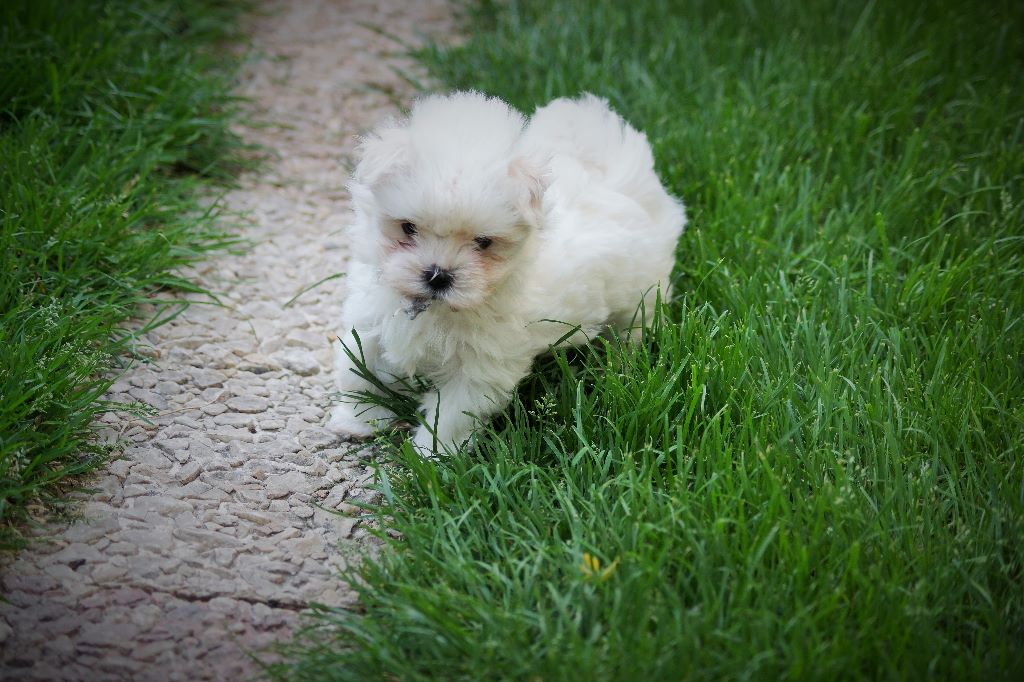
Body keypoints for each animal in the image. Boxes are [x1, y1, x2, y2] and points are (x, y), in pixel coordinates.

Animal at [323, 90, 684, 450]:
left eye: (483, 242)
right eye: (408, 227)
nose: (438, 275)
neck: (436, 309)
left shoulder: (480, 367)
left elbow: (452, 412)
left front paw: (433, 453)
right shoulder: (370, 324)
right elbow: (360, 373)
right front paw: (356, 421)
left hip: (641, 296)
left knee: (636, 325)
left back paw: (626, 361)